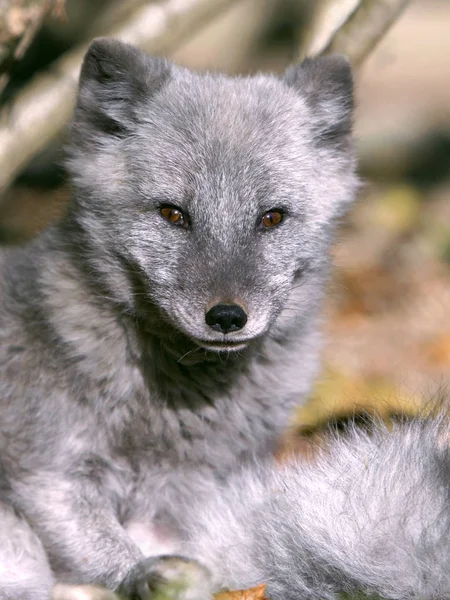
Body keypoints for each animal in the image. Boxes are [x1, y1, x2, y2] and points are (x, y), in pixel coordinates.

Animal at [0, 37, 446, 600]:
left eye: (271, 218)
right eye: (172, 214)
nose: (228, 317)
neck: (173, 414)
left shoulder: (203, 496)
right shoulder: (46, 477)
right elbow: (120, 557)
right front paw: (149, 575)